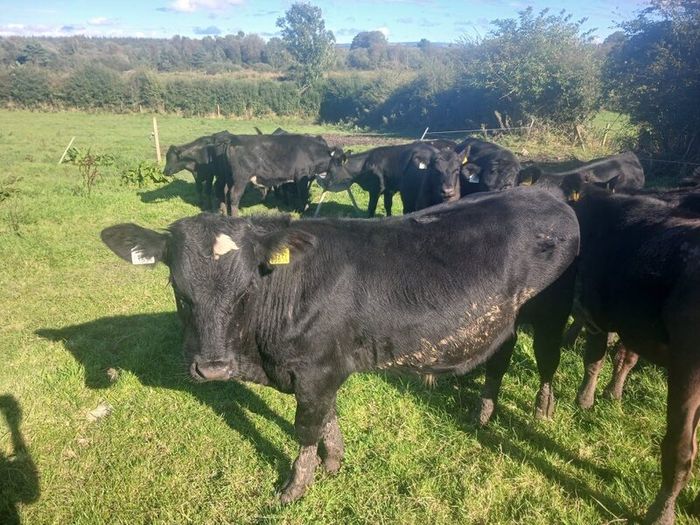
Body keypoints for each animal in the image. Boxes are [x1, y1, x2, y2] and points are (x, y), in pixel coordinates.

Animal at [100, 186, 580, 504]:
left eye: (246, 289)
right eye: (179, 289)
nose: (213, 368)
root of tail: (549, 194)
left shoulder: (317, 370)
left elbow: (306, 428)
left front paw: (295, 487)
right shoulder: (320, 370)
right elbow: (328, 418)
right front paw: (333, 463)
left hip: (551, 313)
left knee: (547, 358)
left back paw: (543, 409)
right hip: (502, 322)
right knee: (500, 356)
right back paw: (484, 413)